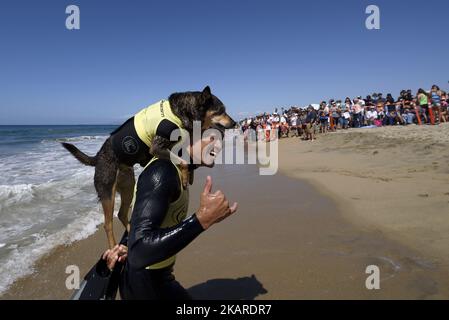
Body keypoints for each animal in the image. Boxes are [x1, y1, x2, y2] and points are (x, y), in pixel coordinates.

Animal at [62, 86, 234, 249]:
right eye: (221, 110)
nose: (234, 123)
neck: (182, 111)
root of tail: (98, 157)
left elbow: (184, 156)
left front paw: (190, 175)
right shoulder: (157, 148)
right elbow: (182, 160)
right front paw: (185, 176)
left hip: (128, 186)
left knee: (122, 214)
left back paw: (129, 232)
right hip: (107, 192)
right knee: (108, 224)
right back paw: (113, 247)